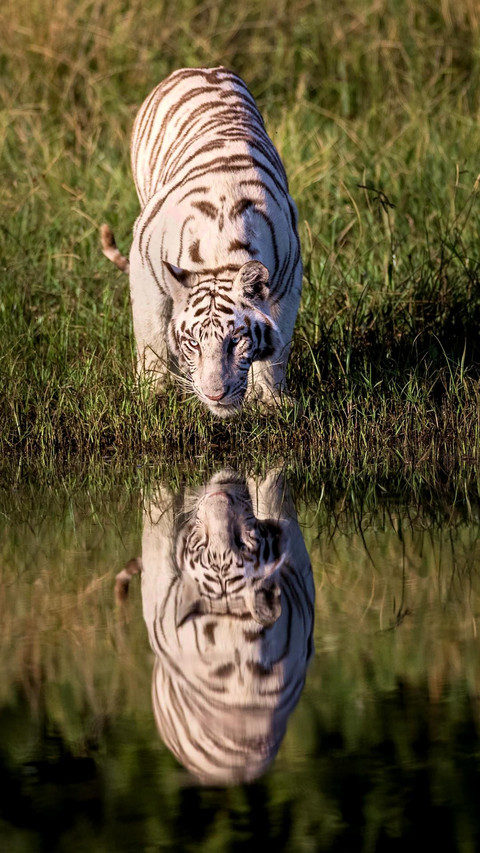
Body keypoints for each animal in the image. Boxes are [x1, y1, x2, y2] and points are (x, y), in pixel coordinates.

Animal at [101, 66, 302, 417]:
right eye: (193, 343)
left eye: (235, 341)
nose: (215, 395)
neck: (221, 250)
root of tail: (204, 68)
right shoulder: (144, 266)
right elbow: (151, 337)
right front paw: (154, 394)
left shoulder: (288, 281)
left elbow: (276, 353)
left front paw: (270, 401)